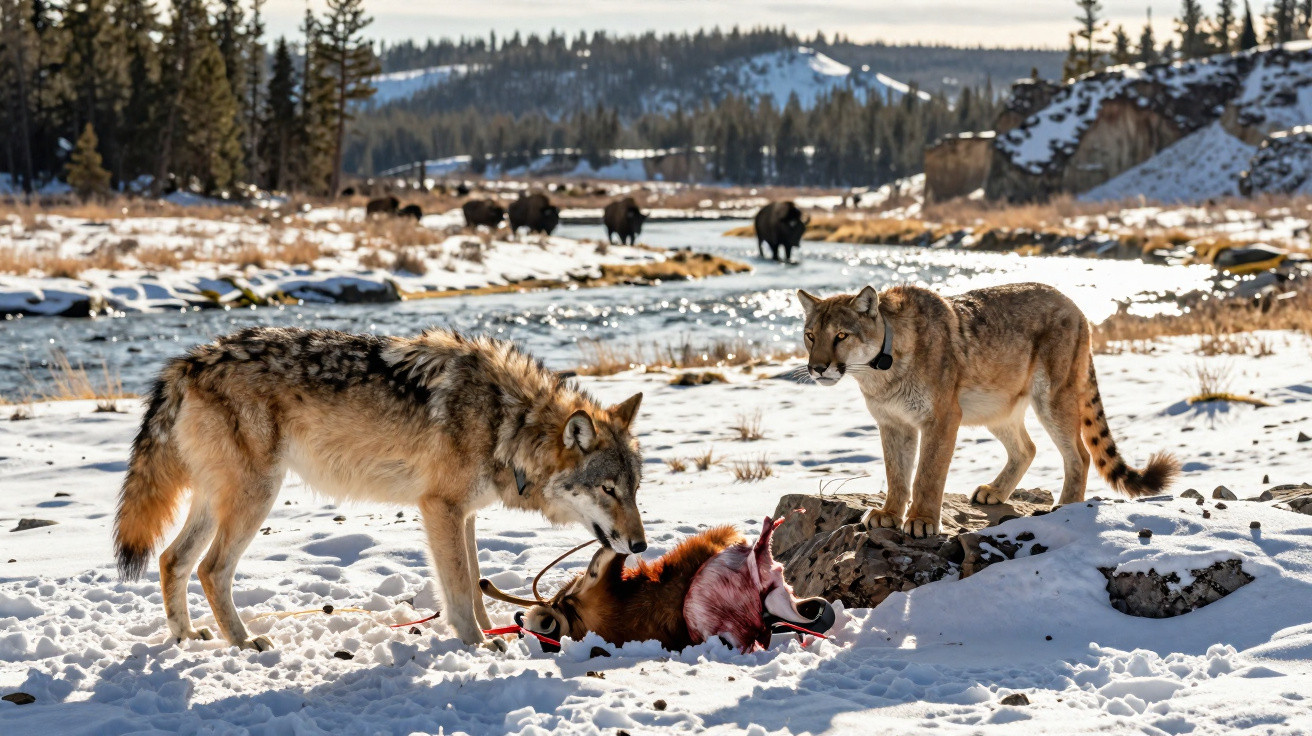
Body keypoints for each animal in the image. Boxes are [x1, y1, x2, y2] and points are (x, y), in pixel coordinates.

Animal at [114, 327, 646, 650]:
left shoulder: (465, 514)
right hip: (255, 498)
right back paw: (244, 642)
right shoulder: (440, 508)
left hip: (217, 502)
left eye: (634, 488)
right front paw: (476, 644)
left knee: (172, 560)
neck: (507, 421)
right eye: (608, 490)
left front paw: (484, 633)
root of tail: (189, 361)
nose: (641, 546)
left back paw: (187, 637)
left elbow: (475, 585)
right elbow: (458, 589)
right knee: (210, 569)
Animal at [798, 283, 1179, 538]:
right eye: (810, 335)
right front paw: (890, 513)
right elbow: (897, 472)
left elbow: (927, 473)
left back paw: (1065, 505)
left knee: (1079, 454)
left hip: (1053, 398)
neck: (879, 372)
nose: (817, 368)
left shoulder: (941, 418)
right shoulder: (893, 423)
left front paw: (921, 520)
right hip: (997, 409)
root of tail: (1074, 305)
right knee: (1027, 448)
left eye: (842, 335)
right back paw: (994, 492)